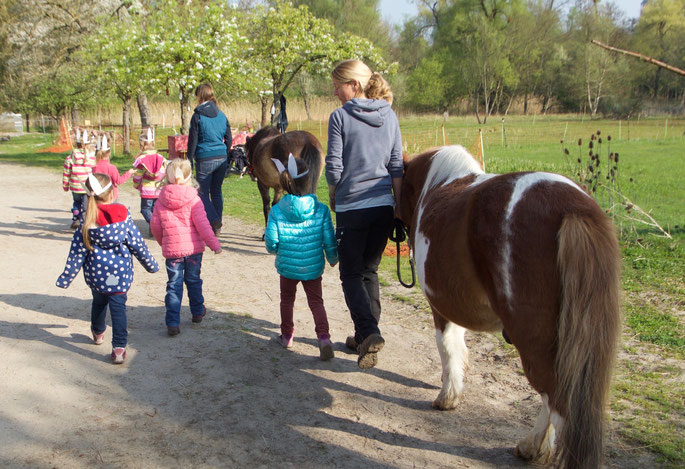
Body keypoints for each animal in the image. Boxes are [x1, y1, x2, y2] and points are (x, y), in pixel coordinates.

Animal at [398, 146, 624, 468]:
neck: (436, 185)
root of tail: (574, 208)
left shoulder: (441, 308)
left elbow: (447, 346)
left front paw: (447, 395)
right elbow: (459, 346)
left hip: (534, 344)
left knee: (559, 405)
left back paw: (533, 446)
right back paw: (533, 448)